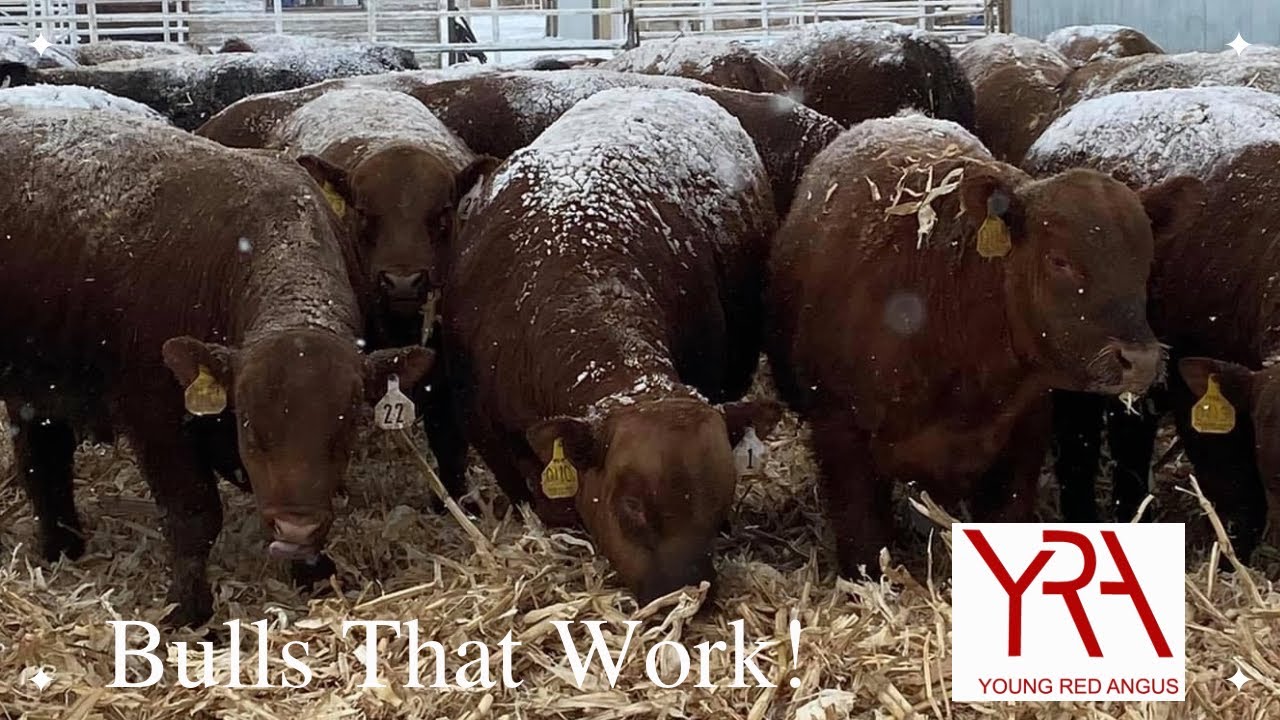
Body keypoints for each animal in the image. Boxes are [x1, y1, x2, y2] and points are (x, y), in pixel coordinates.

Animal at [0, 107, 434, 626]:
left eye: (346, 427)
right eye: (250, 426)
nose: (296, 525)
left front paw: (315, 573)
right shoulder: (156, 418)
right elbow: (194, 515)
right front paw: (190, 608)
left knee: (43, 458)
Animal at [767, 114, 1203, 576]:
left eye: (1145, 260)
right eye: (1059, 260)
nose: (1140, 359)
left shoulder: (1024, 437)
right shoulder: (839, 431)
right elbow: (864, 542)